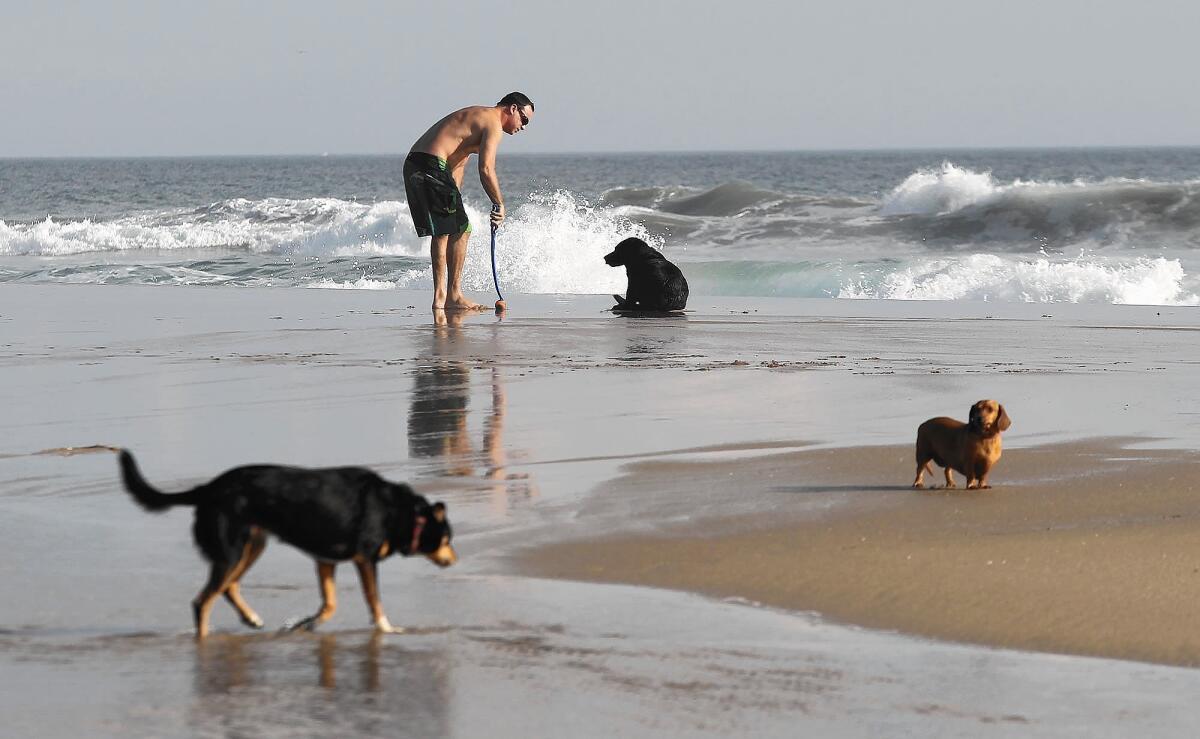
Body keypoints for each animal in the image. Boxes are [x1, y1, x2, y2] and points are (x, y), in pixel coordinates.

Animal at [118, 446, 453, 638]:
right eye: (447, 538)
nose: (453, 560)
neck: (400, 511)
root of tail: (209, 488)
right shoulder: (365, 559)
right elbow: (375, 601)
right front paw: (388, 629)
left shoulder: (325, 560)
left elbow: (329, 604)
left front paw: (307, 624)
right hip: (232, 551)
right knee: (203, 601)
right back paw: (203, 641)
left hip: (252, 546)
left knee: (228, 587)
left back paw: (251, 619)